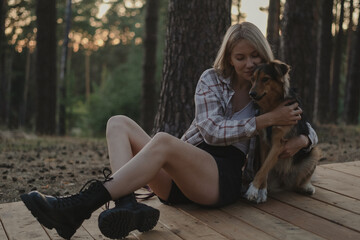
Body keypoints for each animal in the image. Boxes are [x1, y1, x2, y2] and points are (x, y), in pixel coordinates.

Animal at [245, 59, 320, 202]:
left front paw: (253, 190)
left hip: (314, 153)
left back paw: (307, 187)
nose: (251, 94)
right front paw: (261, 191)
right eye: (252, 79)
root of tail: (284, 181)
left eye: (265, 79)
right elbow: (264, 166)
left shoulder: (279, 143)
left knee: (298, 184)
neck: (273, 108)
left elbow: (264, 168)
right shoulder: (263, 142)